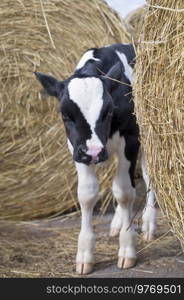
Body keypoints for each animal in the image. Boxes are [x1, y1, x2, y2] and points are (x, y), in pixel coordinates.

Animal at [34, 43, 157, 276]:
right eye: (65, 115)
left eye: (108, 112)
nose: (93, 152)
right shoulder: (76, 148)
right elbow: (87, 194)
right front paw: (85, 254)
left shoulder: (131, 138)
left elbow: (124, 192)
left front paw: (127, 248)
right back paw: (117, 223)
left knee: (148, 176)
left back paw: (148, 224)